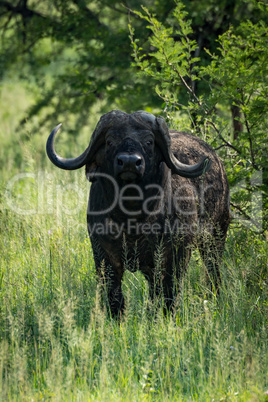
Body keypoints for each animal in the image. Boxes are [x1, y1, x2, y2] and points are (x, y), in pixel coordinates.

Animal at [46, 110, 230, 318]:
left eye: (149, 141)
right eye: (109, 141)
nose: (129, 162)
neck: (131, 219)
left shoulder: (176, 254)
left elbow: (169, 293)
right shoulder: (103, 254)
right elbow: (114, 296)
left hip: (216, 237)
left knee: (212, 272)